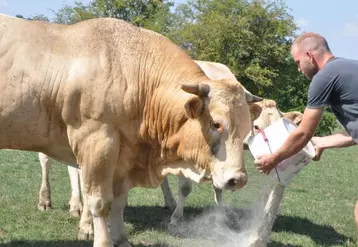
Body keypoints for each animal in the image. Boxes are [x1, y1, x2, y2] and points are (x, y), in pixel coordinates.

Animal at [0, 15, 262, 247]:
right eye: (216, 123)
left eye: (248, 128)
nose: (238, 179)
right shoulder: (95, 141)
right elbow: (99, 201)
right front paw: (100, 238)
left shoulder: (124, 154)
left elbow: (119, 201)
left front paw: (121, 239)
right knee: (47, 162)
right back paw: (48, 201)